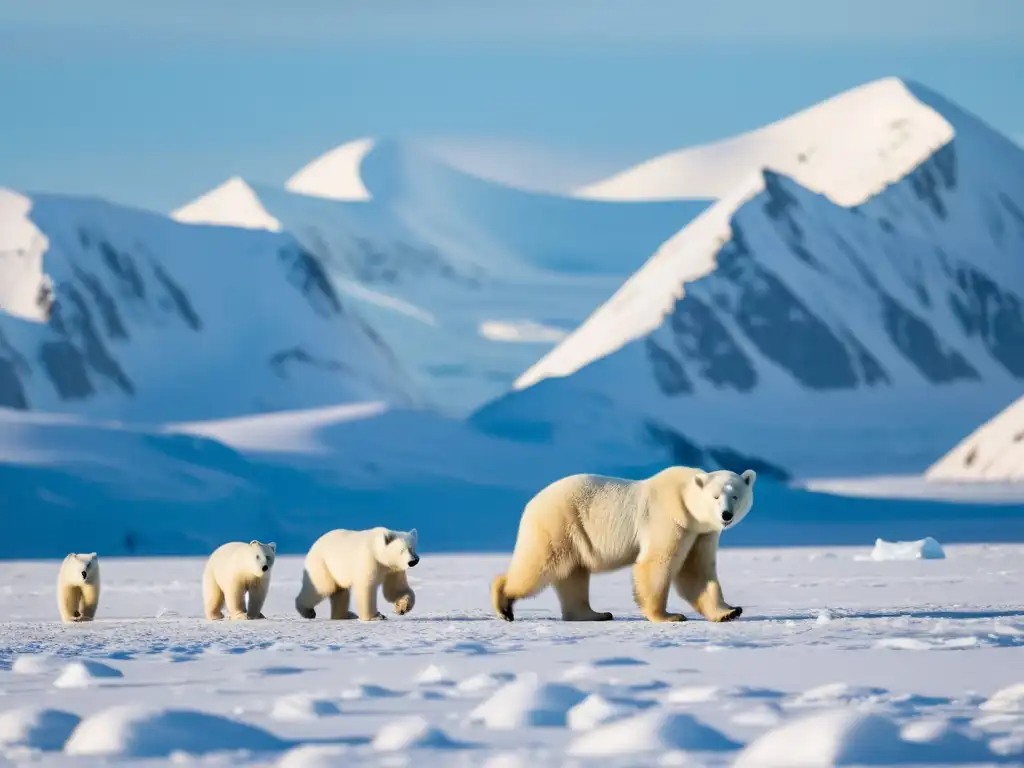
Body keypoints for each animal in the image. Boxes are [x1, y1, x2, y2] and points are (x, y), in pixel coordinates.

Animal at [491, 468, 757, 626]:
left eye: (735, 496)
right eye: (715, 496)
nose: (725, 515)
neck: (683, 497)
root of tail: (531, 503)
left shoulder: (701, 532)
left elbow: (697, 572)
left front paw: (729, 611)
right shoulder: (671, 520)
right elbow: (657, 564)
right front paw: (669, 616)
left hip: (575, 534)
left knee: (573, 575)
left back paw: (595, 614)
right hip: (558, 523)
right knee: (541, 565)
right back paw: (504, 604)